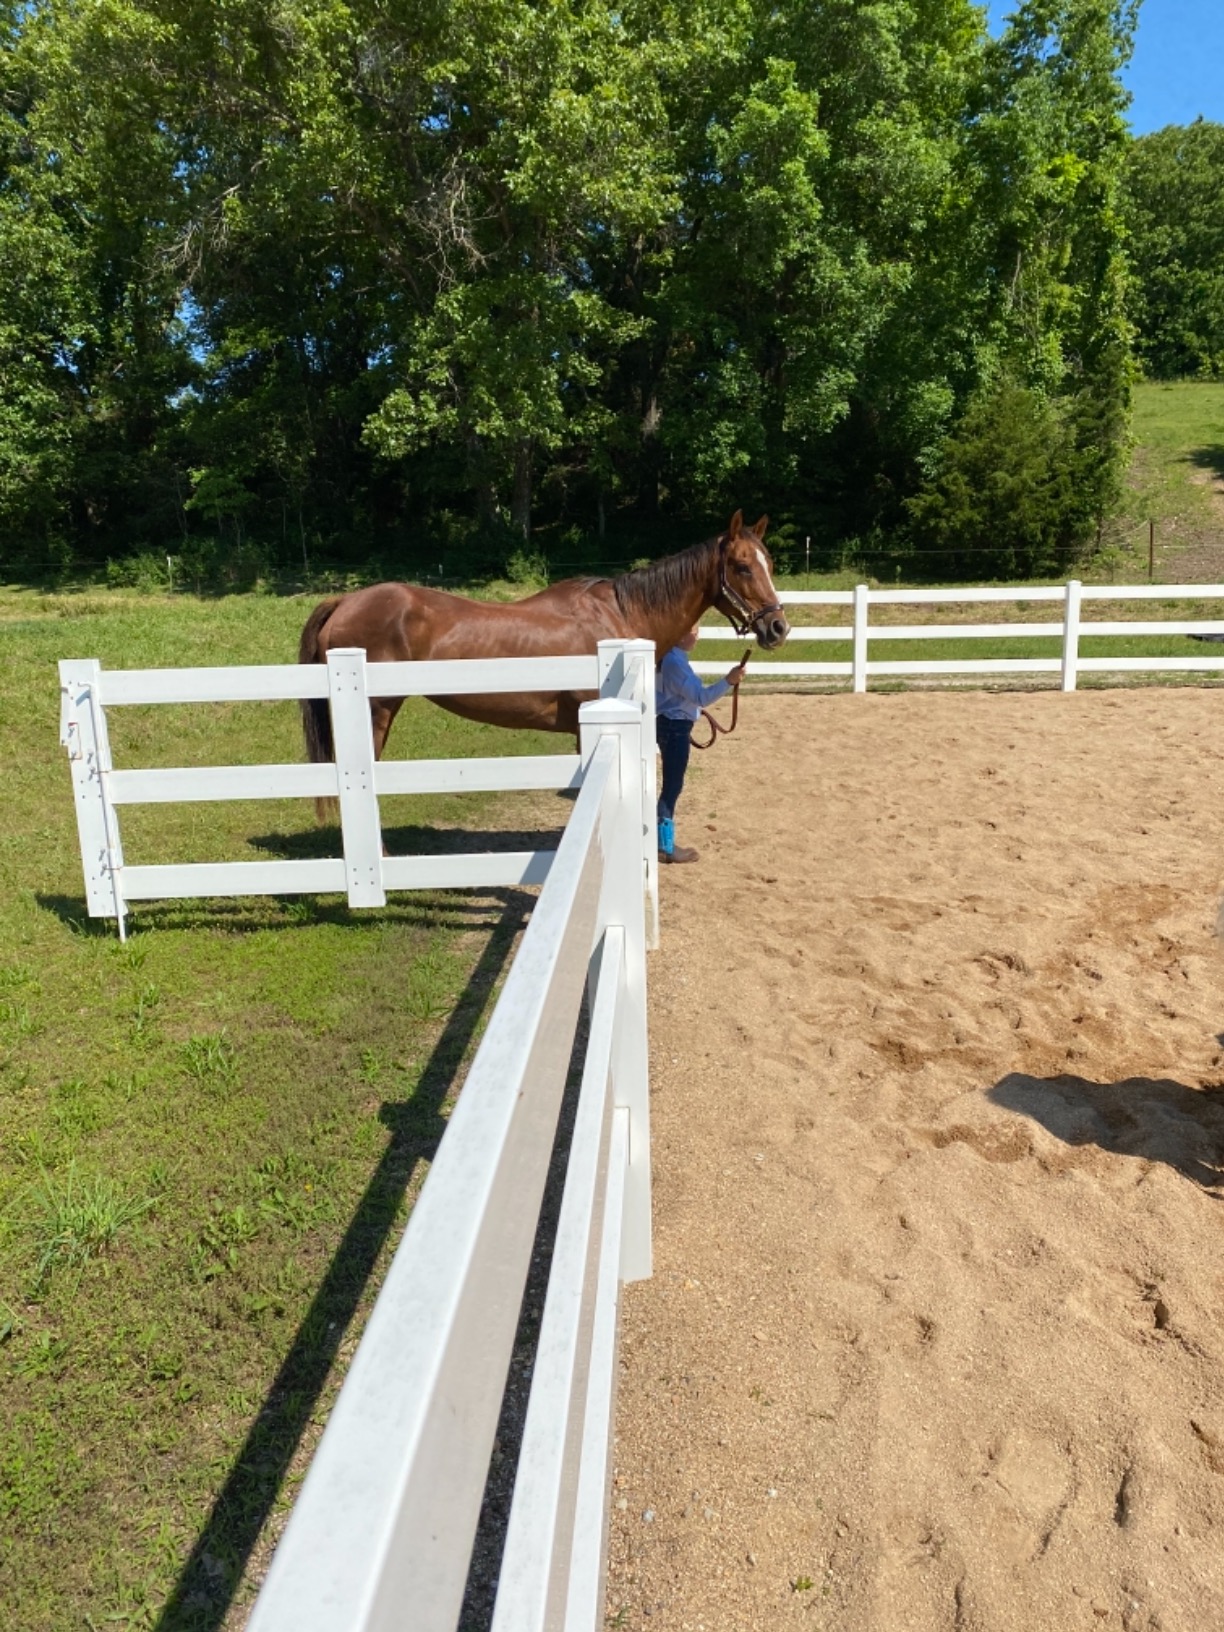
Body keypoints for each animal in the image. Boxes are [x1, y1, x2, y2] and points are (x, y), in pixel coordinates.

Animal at [297, 511, 789, 767]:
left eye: (768, 562)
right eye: (742, 566)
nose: (778, 627)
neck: (620, 614)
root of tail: (344, 601)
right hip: (375, 713)